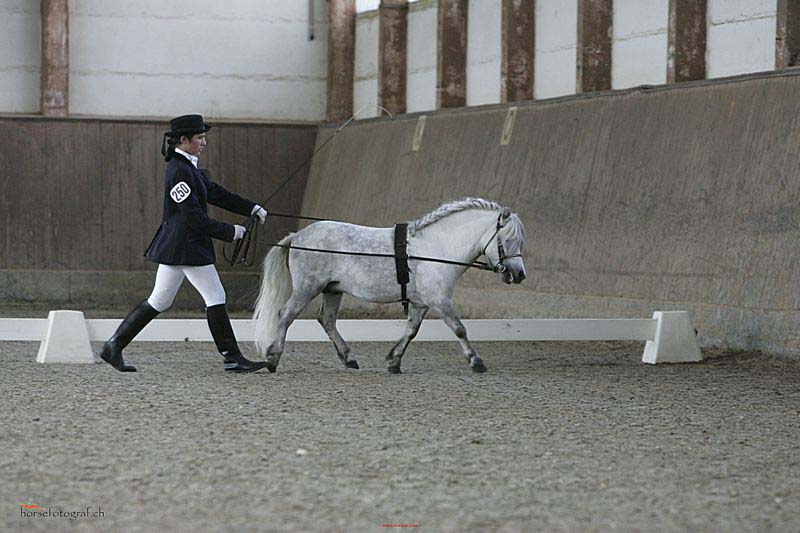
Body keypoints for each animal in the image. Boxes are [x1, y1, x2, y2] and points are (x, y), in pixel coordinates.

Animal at [255, 197, 524, 372]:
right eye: (507, 240)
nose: (519, 274)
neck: (436, 248)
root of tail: (297, 236)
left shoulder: (421, 303)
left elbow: (411, 331)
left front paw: (394, 361)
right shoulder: (439, 300)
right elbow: (459, 329)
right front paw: (476, 362)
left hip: (332, 289)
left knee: (327, 320)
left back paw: (349, 358)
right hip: (307, 288)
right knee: (286, 315)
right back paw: (273, 359)